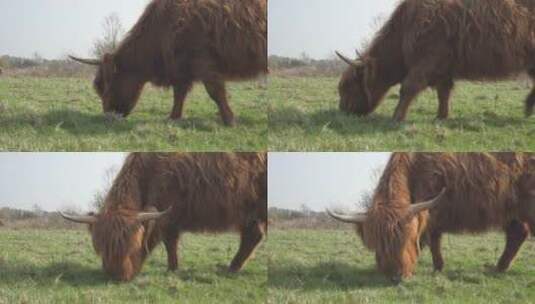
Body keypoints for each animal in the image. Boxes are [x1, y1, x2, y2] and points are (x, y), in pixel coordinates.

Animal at [61, 153, 268, 282]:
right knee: (252, 235)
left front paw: (172, 269)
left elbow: (170, 243)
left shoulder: (169, 217)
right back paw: (233, 268)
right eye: (101, 247)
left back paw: (231, 268)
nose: (116, 275)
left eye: (133, 244)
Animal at [70, 0, 266, 126]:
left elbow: (215, 92)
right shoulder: (180, 68)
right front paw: (173, 118)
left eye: (105, 86)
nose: (108, 117)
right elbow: (178, 94)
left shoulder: (203, 61)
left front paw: (229, 120)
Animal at [328, 153, 535, 284]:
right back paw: (499, 268)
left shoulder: (431, 212)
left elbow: (432, 240)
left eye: (406, 239)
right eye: (378, 244)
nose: (394, 277)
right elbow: (435, 240)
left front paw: (437, 268)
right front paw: (438, 268)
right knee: (517, 233)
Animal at [338, 1, 535, 122]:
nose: (342, 111)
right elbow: (444, 92)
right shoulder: (443, 69)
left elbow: (408, 87)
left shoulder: (427, 60)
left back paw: (527, 108)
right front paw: (441, 116)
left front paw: (397, 117)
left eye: (349, 86)